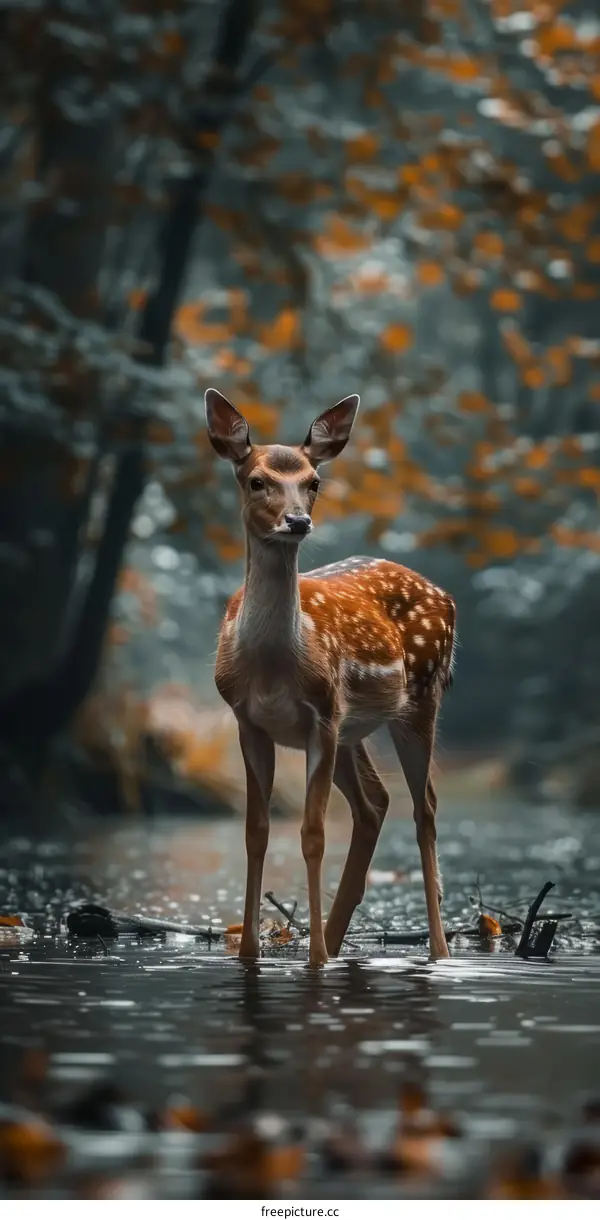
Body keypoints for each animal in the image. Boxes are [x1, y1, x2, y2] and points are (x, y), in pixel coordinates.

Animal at [205, 388, 456, 968]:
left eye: (314, 480)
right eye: (256, 480)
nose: (297, 521)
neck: (274, 666)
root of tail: (446, 595)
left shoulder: (321, 716)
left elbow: (313, 833)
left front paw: (315, 960)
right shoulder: (249, 721)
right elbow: (256, 832)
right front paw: (249, 954)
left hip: (419, 699)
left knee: (425, 808)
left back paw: (436, 953)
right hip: (353, 729)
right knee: (374, 804)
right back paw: (341, 940)